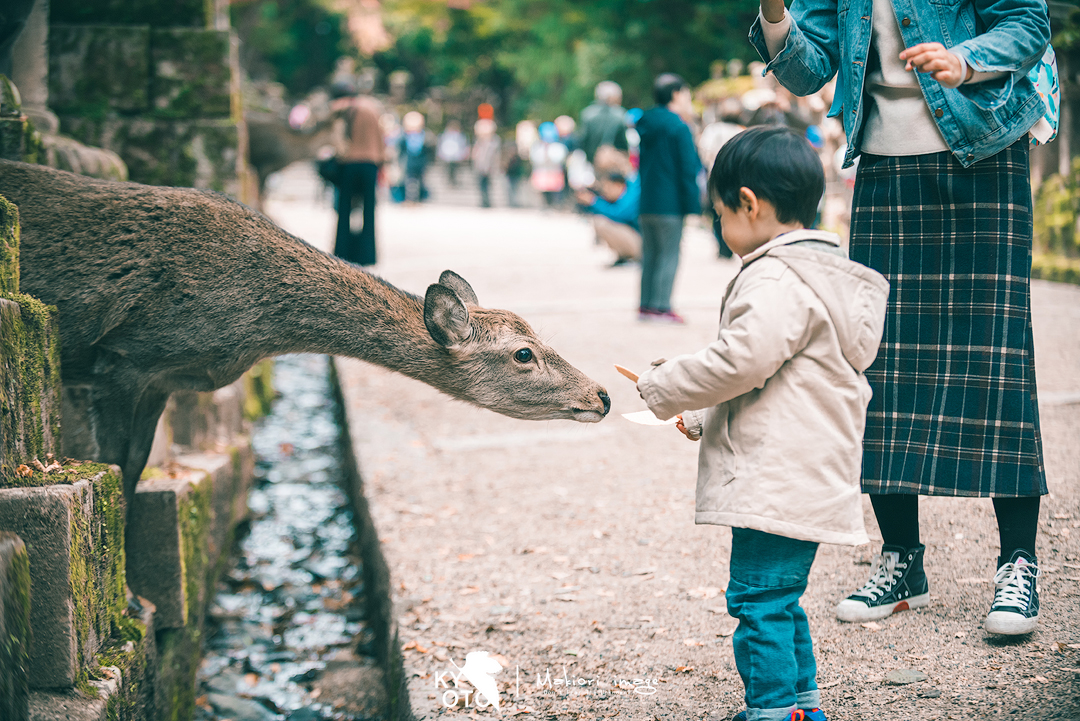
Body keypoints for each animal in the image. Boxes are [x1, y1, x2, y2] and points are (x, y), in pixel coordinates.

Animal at [0, 162, 609, 533]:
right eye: (523, 354)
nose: (601, 395)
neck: (254, 324)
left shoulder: (160, 380)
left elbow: (134, 466)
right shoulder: (125, 358)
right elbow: (117, 470)